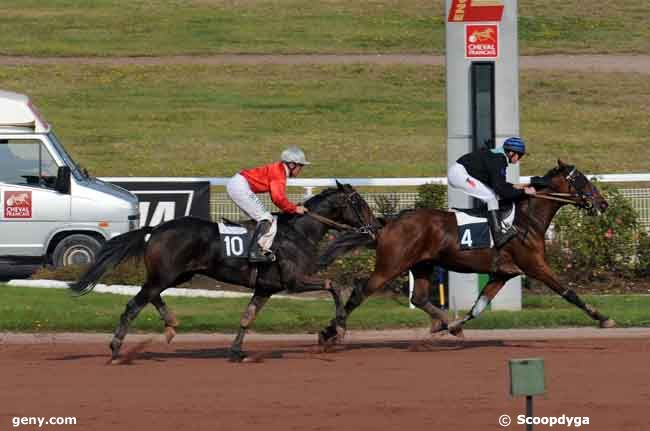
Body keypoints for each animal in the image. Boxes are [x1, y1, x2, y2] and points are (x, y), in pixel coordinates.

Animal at [69, 181, 374, 362]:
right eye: (359, 203)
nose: (374, 226)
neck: (299, 232)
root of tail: (155, 228)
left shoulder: (266, 288)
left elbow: (247, 317)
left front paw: (236, 351)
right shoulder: (294, 281)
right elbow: (334, 285)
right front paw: (336, 329)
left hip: (176, 276)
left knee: (150, 295)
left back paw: (170, 324)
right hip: (167, 275)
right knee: (134, 304)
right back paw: (116, 348)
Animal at [318, 160, 612, 346]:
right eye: (582, 180)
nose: (603, 204)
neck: (525, 220)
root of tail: (387, 223)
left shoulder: (501, 274)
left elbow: (478, 307)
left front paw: (456, 327)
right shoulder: (535, 266)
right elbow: (568, 292)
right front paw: (603, 318)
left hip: (422, 265)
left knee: (420, 297)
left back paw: (443, 323)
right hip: (391, 265)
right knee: (360, 291)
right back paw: (332, 330)